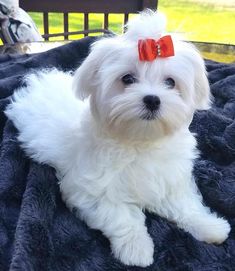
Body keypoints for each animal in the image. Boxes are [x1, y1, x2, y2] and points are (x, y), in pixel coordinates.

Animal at [5, 10, 229, 268]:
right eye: (127, 79)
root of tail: (39, 79)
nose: (152, 99)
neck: (140, 141)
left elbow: (184, 203)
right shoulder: (90, 189)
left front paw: (210, 225)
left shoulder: (169, 177)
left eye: (170, 82)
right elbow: (120, 215)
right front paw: (136, 248)